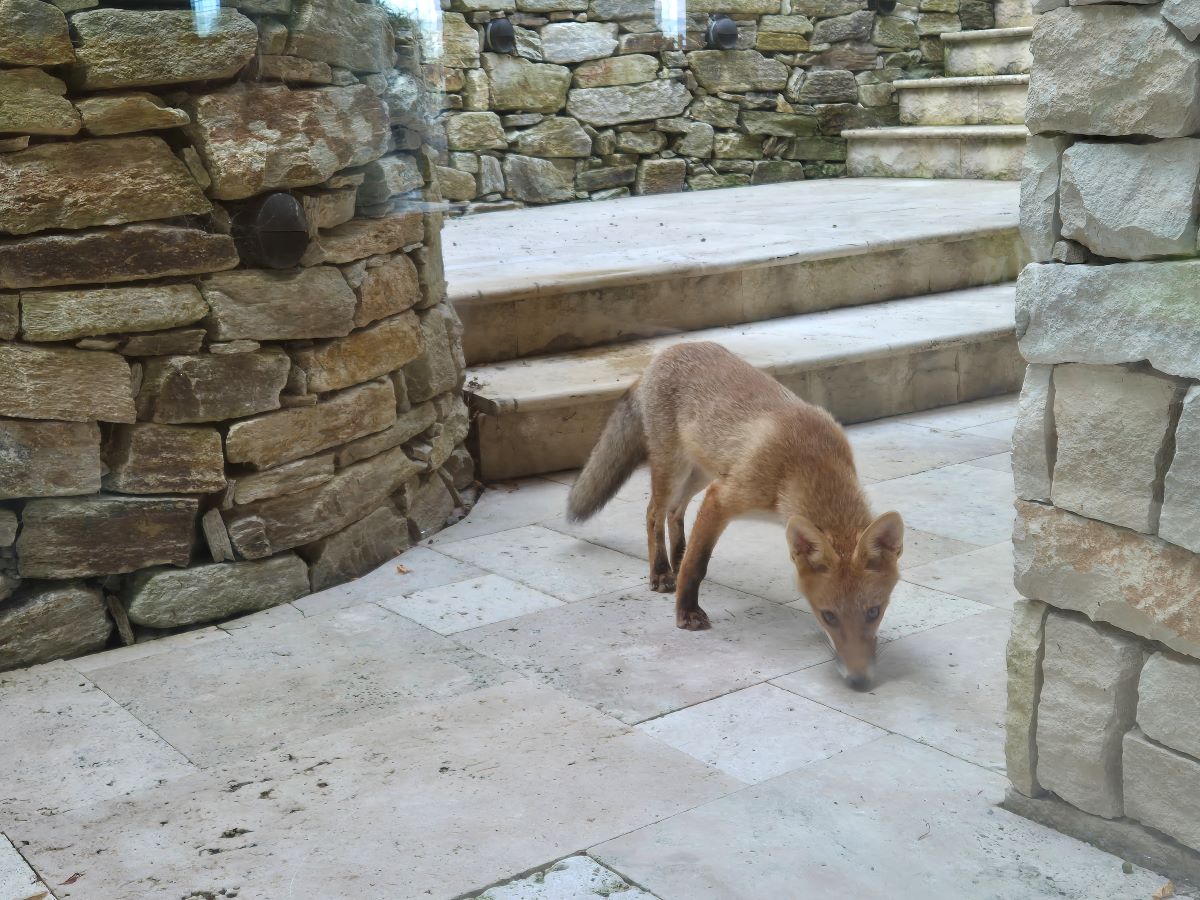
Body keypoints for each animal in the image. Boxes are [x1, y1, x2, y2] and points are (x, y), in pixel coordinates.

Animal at [566, 342, 904, 690]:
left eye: (874, 612)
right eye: (829, 615)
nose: (860, 681)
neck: (807, 464)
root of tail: (665, 353)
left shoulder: (719, 490)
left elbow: (693, 555)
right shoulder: (723, 497)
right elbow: (697, 566)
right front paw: (686, 613)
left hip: (702, 471)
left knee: (676, 511)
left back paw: (677, 556)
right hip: (675, 470)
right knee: (653, 513)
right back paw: (661, 571)